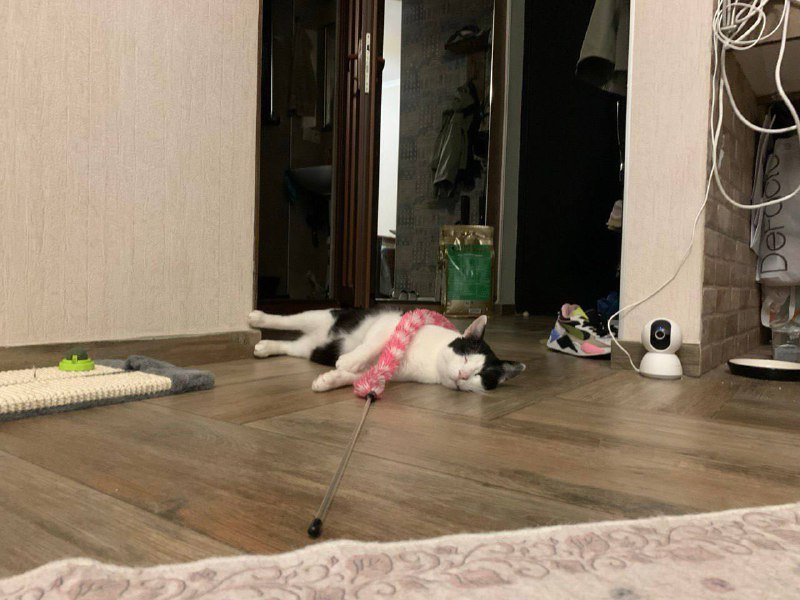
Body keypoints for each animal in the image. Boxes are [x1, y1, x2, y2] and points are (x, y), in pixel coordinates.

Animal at [248, 308, 525, 393]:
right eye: (465, 356)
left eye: (482, 376)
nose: (463, 375)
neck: (431, 361)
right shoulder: (388, 324)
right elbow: (374, 345)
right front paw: (348, 361)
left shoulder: (391, 372)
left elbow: (357, 376)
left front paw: (329, 380)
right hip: (321, 316)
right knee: (287, 319)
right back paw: (257, 317)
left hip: (309, 348)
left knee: (291, 345)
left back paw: (265, 346)